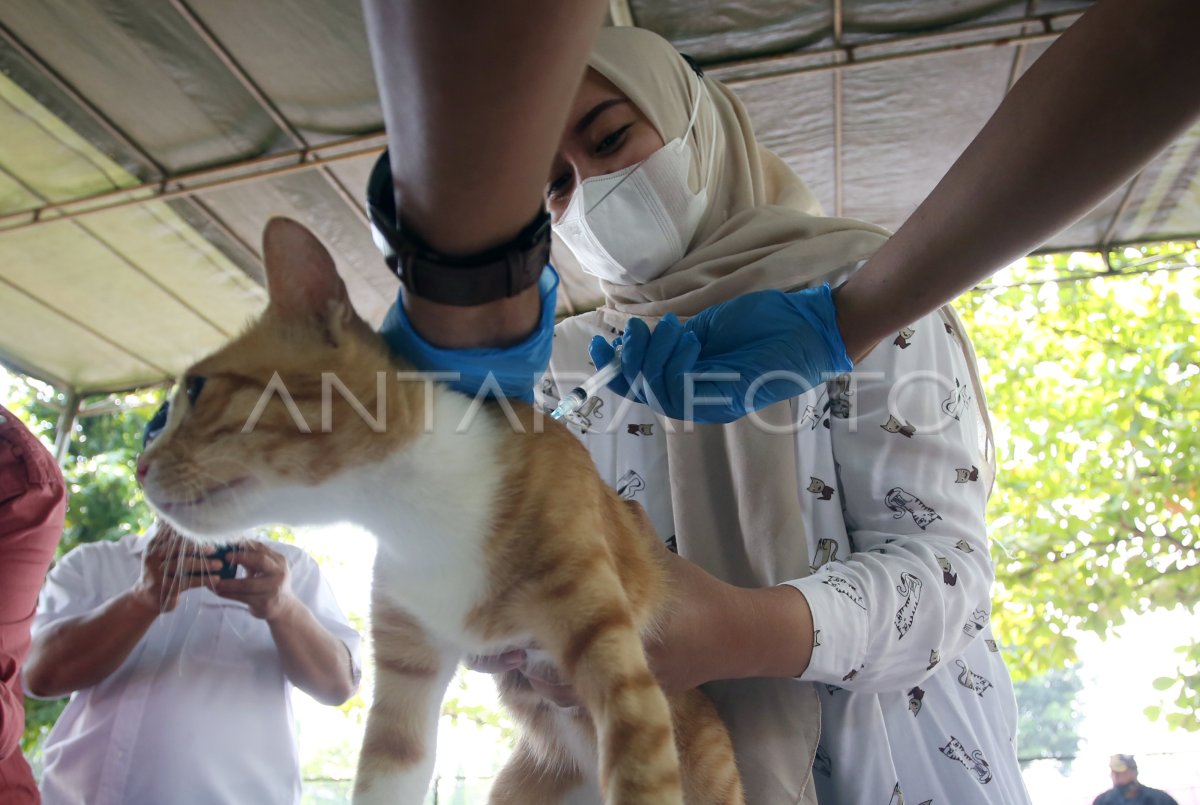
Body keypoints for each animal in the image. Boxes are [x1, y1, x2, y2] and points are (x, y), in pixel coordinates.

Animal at [138, 220, 739, 805]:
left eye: (196, 387)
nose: (140, 467)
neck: (416, 512)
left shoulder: (612, 659)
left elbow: (641, 771)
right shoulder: (405, 669)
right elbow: (385, 773)